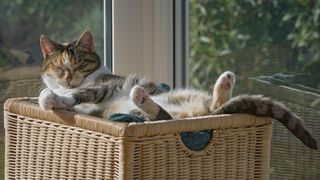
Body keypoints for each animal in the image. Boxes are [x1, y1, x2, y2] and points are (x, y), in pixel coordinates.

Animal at [38, 30, 318, 149]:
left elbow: (80, 94)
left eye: (80, 63)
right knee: (184, 113)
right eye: (60, 68)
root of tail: (197, 116)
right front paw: (53, 94)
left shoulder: (106, 85)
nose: (69, 78)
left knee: (170, 115)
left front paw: (52, 97)